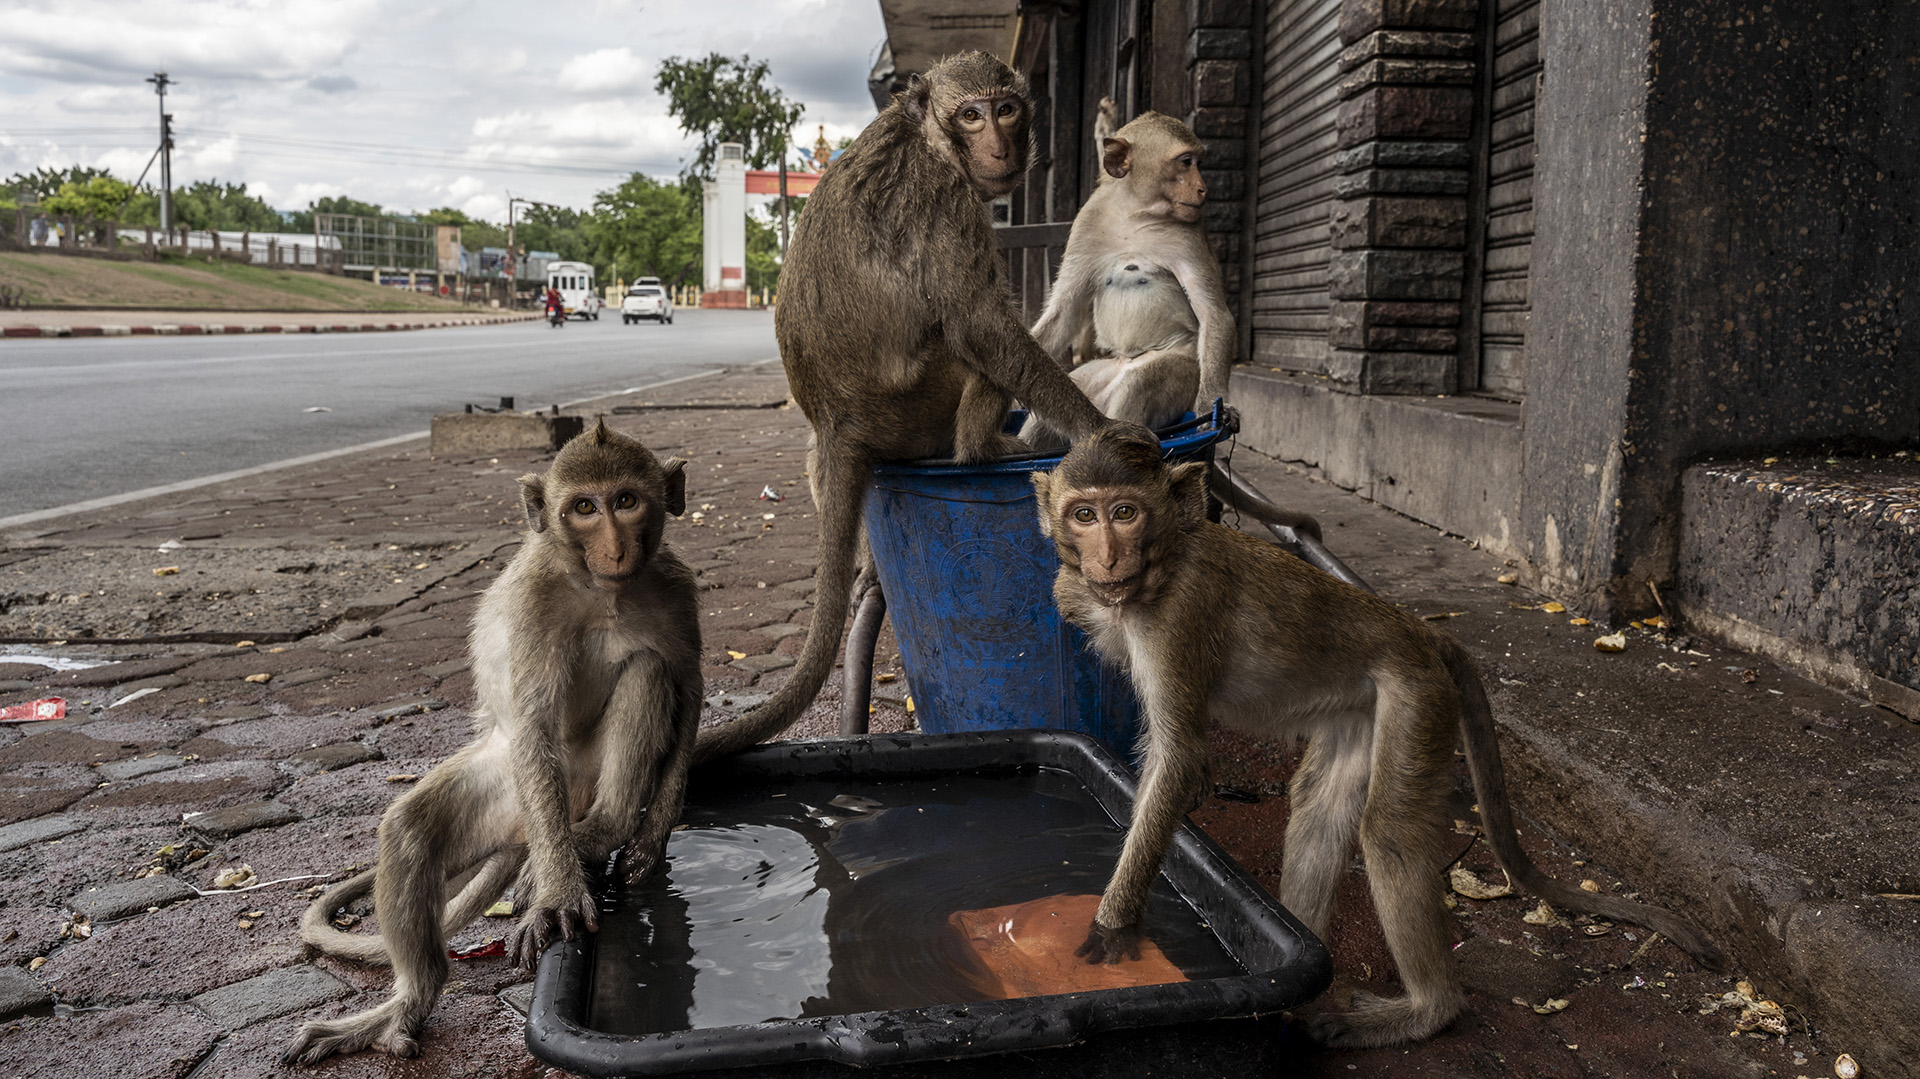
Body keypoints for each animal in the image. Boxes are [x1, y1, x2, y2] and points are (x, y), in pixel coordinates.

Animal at [278, 420, 706, 1059]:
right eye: (584, 508)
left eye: (626, 501)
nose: (614, 546)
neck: (603, 590)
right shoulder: (533, 603)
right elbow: (533, 721)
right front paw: (560, 897)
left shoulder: (675, 588)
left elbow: (689, 685)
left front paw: (651, 840)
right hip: (517, 795)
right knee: (411, 831)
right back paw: (409, 1003)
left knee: (648, 671)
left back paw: (604, 827)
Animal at [698, 48, 1105, 756]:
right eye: (970, 115)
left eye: (1006, 107)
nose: (998, 142)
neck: (927, 137)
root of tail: (842, 422)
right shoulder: (945, 199)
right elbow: (981, 326)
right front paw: (1102, 430)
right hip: (921, 405)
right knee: (970, 343)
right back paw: (983, 446)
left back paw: (864, 559)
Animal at [1029, 110, 1236, 445]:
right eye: (1186, 162)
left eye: (1198, 163)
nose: (1203, 188)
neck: (1135, 213)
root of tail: (1125, 363)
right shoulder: (1087, 221)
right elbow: (1064, 311)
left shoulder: (1190, 234)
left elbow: (1213, 314)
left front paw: (1213, 407)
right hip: (1096, 377)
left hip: (1182, 368)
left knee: (1141, 382)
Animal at [1036, 424, 1728, 1044]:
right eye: (1084, 515)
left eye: (1124, 512)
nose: (1107, 556)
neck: (1159, 567)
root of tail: (1418, 629)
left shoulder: (1181, 615)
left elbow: (1178, 758)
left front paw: (1111, 928)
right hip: (1362, 708)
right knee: (1320, 806)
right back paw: (1300, 966)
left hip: (1416, 698)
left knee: (1389, 831)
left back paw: (1424, 1012)